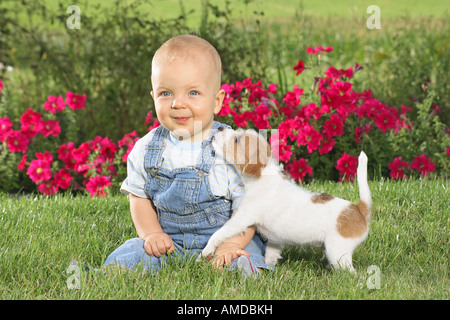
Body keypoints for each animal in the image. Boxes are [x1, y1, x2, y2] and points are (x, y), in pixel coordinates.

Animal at [203, 127, 372, 272]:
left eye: (237, 140)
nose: (220, 128)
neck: (262, 176)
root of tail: (359, 209)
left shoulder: (240, 220)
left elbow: (217, 234)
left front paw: (205, 253)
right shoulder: (274, 242)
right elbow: (270, 255)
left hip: (338, 253)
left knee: (351, 274)